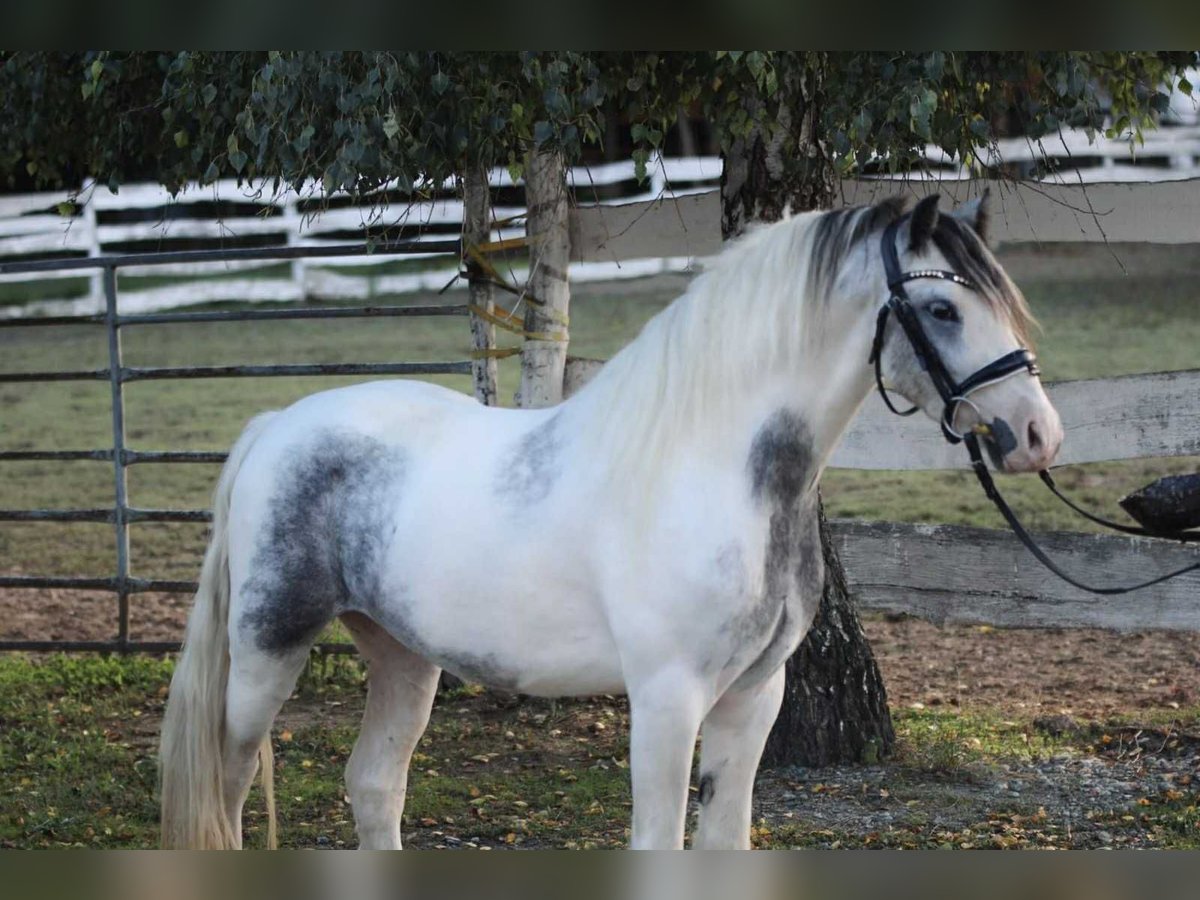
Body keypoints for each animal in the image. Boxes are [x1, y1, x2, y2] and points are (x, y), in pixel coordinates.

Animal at [159, 192, 1063, 850]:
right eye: (942, 310)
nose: (1037, 435)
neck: (712, 464)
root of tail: (277, 423)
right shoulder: (667, 698)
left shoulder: (753, 697)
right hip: (266, 654)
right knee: (229, 789)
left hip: (403, 657)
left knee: (373, 786)